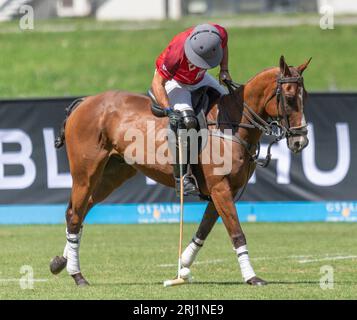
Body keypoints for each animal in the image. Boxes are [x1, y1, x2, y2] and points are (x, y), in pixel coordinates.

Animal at [49, 55, 308, 288]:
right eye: (289, 97)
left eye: (304, 96)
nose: (300, 141)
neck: (232, 124)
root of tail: (84, 102)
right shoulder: (220, 188)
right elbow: (236, 233)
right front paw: (252, 277)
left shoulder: (226, 191)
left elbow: (203, 231)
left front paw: (182, 266)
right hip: (85, 173)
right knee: (75, 215)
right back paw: (77, 275)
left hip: (113, 174)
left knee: (78, 211)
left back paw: (61, 262)